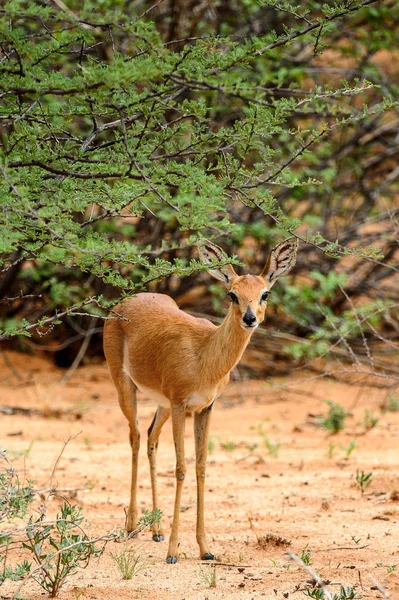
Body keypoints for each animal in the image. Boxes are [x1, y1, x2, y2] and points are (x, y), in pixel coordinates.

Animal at [103, 238, 296, 564]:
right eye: (232, 294)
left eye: (264, 293)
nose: (250, 319)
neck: (205, 354)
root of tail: (124, 303)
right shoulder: (181, 403)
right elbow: (181, 468)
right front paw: (172, 552)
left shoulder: (204, 407)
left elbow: (201, 467)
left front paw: (205, 548)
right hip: (125, 386)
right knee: (136, 437)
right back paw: (132, 527)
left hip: (162, 405)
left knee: (151, 438)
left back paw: (156, 530)